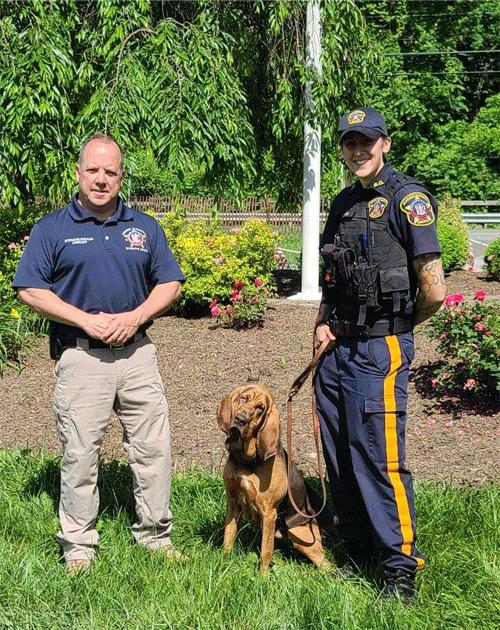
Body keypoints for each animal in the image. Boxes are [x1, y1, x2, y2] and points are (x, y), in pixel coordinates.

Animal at [218, 382, 332, 576]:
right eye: (243, 398)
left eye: (260, 408)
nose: (240, 420)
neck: (247, 460)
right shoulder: (232, 502)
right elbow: (228, 538)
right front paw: (222, 567)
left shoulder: (269, 512)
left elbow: (265, 552)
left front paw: (262, 578)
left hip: (301, 535)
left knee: (325, 565)